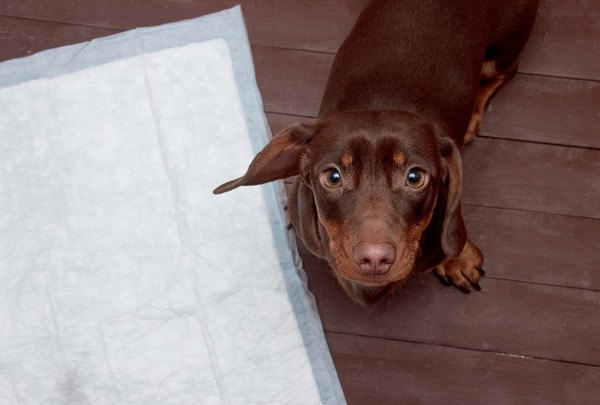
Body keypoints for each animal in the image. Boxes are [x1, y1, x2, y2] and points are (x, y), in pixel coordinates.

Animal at [213, 0, 536, 304]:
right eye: (332, 177)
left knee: (507, 71)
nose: (375, 260)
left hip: (502, 50)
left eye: (415, 177)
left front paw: (458, 257)